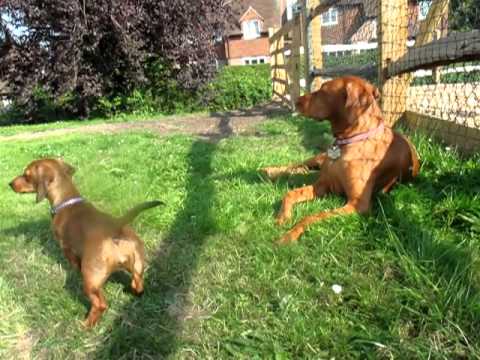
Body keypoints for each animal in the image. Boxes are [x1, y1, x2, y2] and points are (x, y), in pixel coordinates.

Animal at [8, 159, 163, 328]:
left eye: (26, 175)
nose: (10, 184)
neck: (66, 201)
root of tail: (115, 226)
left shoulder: (66, 248)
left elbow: (73, 262)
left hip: (90, 280)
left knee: (100, 304)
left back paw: (87, 324)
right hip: (137, 266)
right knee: (137, 283)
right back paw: (134, 292)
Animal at [262, 76, 420, 245]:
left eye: (323, 91)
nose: (296, 101)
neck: (351, 140)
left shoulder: (358, 204)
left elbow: (312, 216)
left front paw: (289, 235)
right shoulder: (322, 185)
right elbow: (290, 193)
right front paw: (282, 217)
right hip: (320, 157)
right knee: (298, 165)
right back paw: (270, 171)